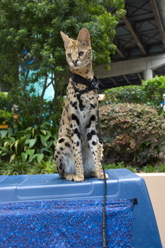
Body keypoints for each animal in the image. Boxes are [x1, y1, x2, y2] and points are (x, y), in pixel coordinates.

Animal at [54, 27, 108, 182]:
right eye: (68, 54)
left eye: (80, 53)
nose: (74, 61)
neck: (84, 82)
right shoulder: (74, 121)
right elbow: (77, 151)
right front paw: (79, 175)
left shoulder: (91, 121)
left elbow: (94, 149)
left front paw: (100, 173)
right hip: (62, 140)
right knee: (61, 173)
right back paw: (72, 174)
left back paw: (93, 172)